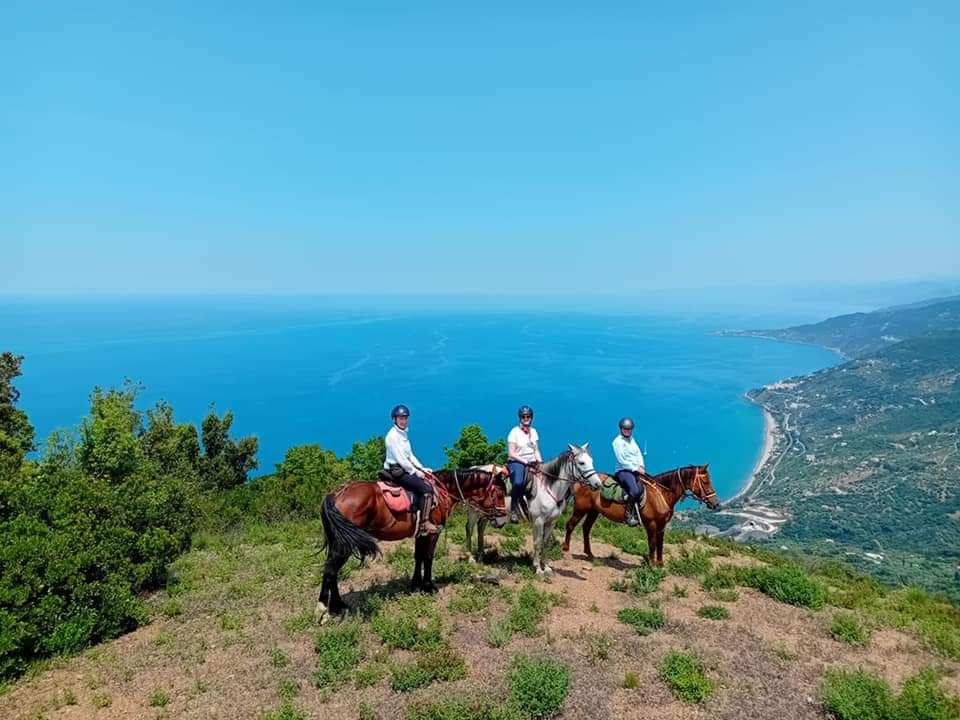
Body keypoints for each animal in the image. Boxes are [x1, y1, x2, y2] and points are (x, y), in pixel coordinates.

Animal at [316, 466, 509, 624]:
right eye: (499, 494)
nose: (501, 521)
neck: (444, 490)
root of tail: (335, 494)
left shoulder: (421, 535)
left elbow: (418, 557)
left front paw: (416, 584)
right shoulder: (433, 533)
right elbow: (428, 557)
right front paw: (428, 586)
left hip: (339, 542)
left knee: (332, 570)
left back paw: (338, 606)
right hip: (344, 544)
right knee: (331, 570)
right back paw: (322, 611)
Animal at [466, 443, 600, 576]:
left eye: (591, 461)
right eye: (582, 463)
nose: (598, 484)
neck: (549, 488)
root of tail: (473, 469)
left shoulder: (551, 522)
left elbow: (546, 543)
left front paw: (546, 567)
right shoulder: (538, 521)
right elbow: (537, 542)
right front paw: (538, 568)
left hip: (486, 512)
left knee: (480, 528)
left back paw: (481, 557)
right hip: (474, 510)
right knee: (469, 529)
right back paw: (471, 558)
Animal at [562, 464, 720, 566]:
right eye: (705, 481)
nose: (716, 503)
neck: (661, 494)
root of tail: (580, 481)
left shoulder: (662, 525)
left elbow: (660, 543)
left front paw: (660, 564)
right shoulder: (651, 524)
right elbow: (652, 543)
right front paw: (651, 564)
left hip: (594, 511)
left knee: (586, 528)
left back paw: (589, 553)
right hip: (581, 509)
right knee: (570, 525)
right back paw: (565, 548)